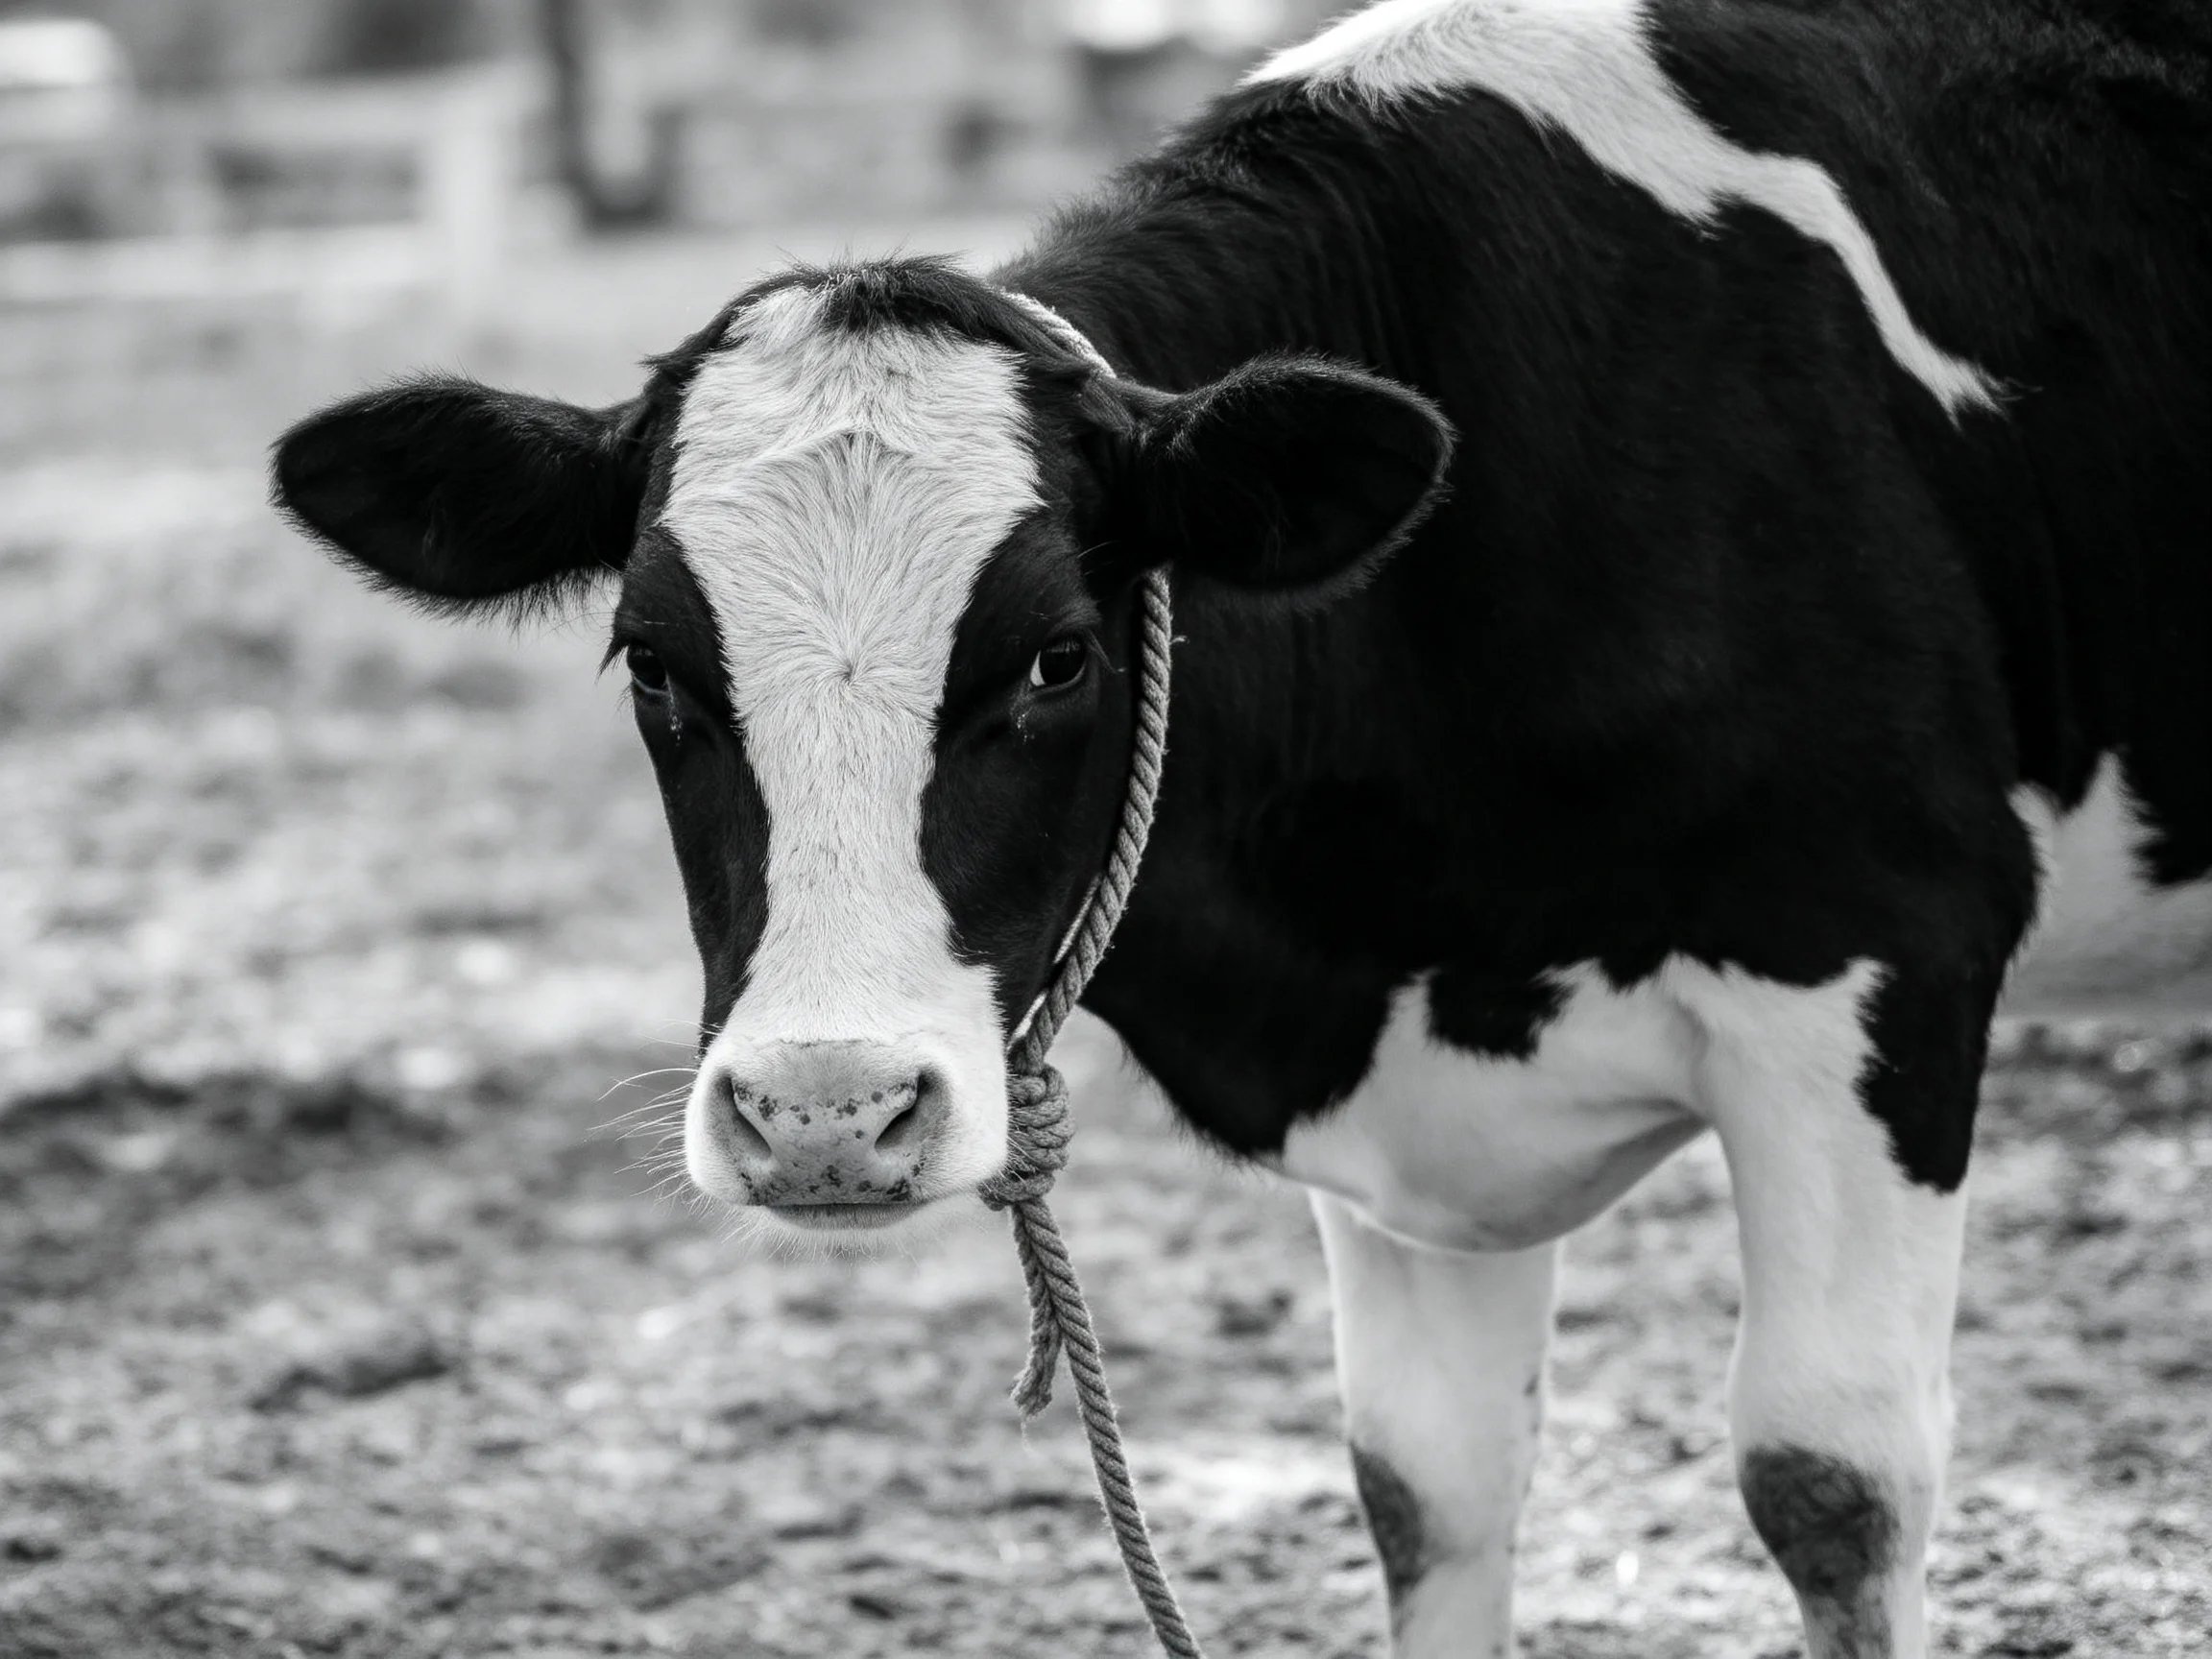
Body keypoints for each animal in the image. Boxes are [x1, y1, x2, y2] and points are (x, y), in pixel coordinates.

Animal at [269, 1, 2212, 1654]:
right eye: (656, 667)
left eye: (1057, 654)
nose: (823, 1114)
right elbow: (1425, 1491)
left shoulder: (1880, 957)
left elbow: (1829, 1480)